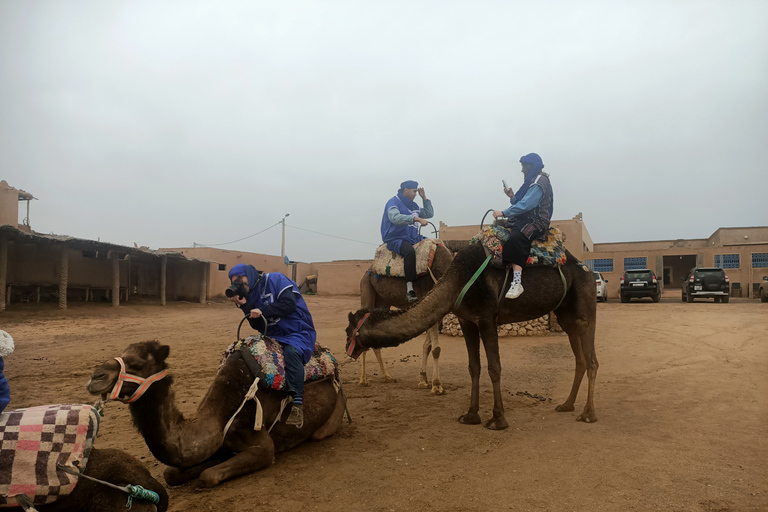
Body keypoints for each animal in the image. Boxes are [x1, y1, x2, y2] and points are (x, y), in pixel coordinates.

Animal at [85, 340, 346, 488]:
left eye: (138, 364)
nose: (96, 377)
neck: (218, 417)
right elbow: (170, 474)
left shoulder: (262, 445)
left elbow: (208, 475)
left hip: (332, 418)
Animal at [356, 240, 452, 392]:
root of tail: (369, 270)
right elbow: (436, 349)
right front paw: (437, 386)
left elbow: (427, 346)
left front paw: (424, 381)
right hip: (366, 288)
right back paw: (363, 380)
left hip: (383, 301)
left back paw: (387, 377)